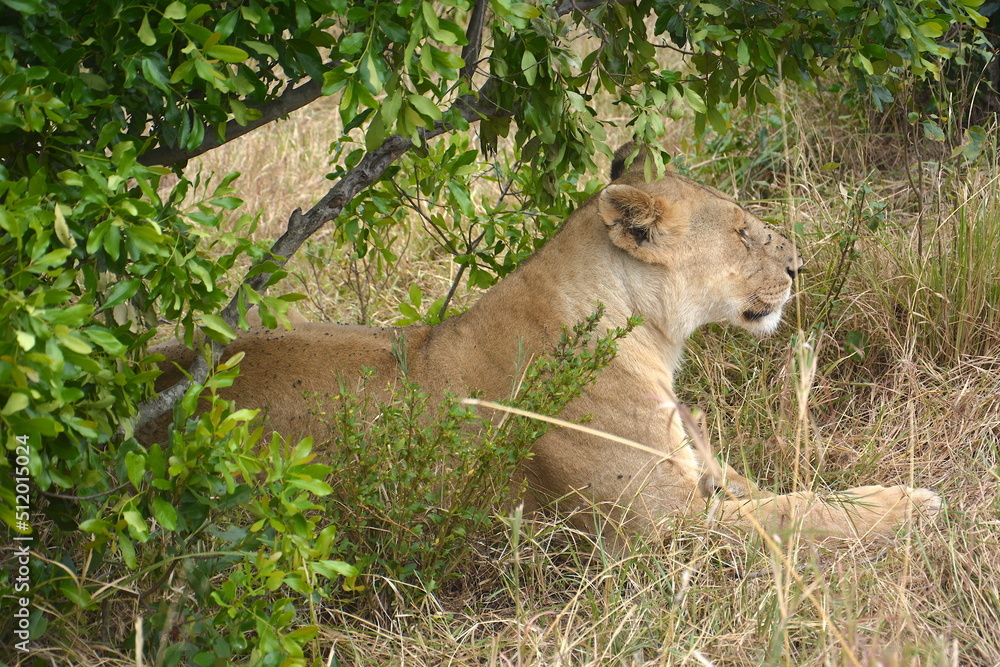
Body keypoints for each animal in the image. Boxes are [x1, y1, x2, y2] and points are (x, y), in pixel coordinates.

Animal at [141, 144, 941, 544]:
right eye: (743, 231)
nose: (799, 268)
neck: (651, 341)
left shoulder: (710, 482)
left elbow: (808, 493)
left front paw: (893, 493)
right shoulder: (667, 528)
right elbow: (800, 516)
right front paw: (917, 508)